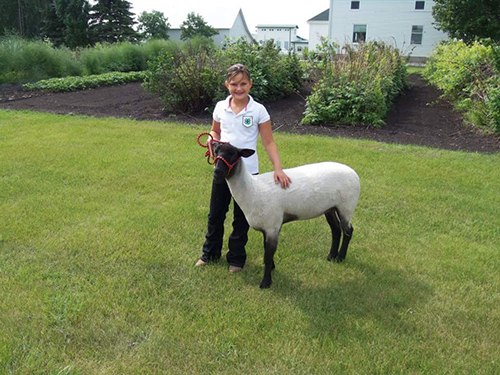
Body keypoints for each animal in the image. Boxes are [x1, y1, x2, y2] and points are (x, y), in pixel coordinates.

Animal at [211, 142, 360, 290]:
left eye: (233, 154)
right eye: (216, 151)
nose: (217, 172)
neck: (253, 189)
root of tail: (354, 172)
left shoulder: (272, 226)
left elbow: (268, 255)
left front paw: (265, 282)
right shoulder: (268, 226)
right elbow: (266, 252)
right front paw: (272, 268)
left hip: (346, 206)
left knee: (348, 231)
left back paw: (340, 257)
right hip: (329, 208)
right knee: (336, 229)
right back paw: (331, 256)